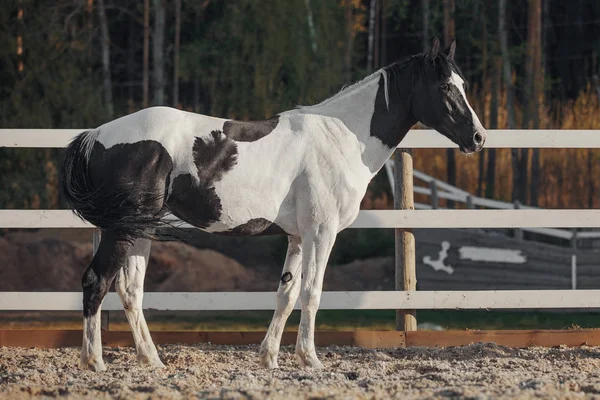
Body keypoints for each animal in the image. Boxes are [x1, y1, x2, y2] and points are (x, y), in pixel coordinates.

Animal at [62, 39, 482, 370]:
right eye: (445, 85)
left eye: (462, 84)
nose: (478, 137)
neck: (343, 136)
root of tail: (97, 135)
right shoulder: (321, 233)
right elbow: (313, 292)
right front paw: (310, 359)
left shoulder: (297, 237)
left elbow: (287, 293)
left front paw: (270, 357)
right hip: (122, 230)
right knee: (96, 282)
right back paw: (94, 361)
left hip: (140, 230)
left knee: (130, 291)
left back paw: (152, 361)